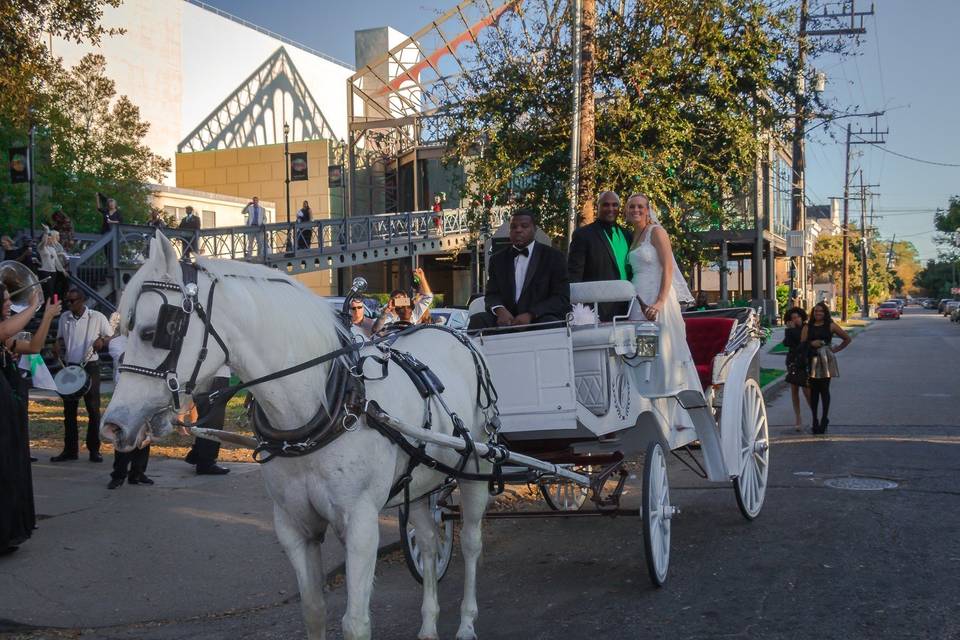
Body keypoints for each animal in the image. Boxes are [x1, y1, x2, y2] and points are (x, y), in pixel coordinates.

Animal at [104, 232, 492, 636]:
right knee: (430, 542)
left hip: (476, 467)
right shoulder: (294, 526)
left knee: (471, 543)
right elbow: (313, 610)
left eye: (153, 331)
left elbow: (355, 624)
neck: (323, 407)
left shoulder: (361, 525)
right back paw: (429, 624)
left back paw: (466, 623)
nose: (113, 424)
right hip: (417, 483)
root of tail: (452, 332)